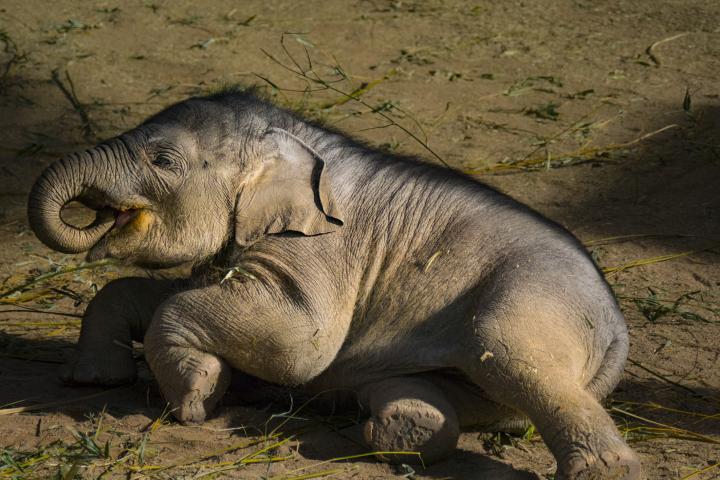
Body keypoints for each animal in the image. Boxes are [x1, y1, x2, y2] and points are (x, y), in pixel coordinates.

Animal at [27, 88, 641, 479]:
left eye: (163, 159)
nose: (91, 214)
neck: (292, 134)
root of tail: (617, 328)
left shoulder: (323, 247)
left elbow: (297, 342)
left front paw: (196, 398)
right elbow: (150, 293)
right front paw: (94, 381)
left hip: (532, 302)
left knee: (513, 358)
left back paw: (605, 473)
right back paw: (397, 433)